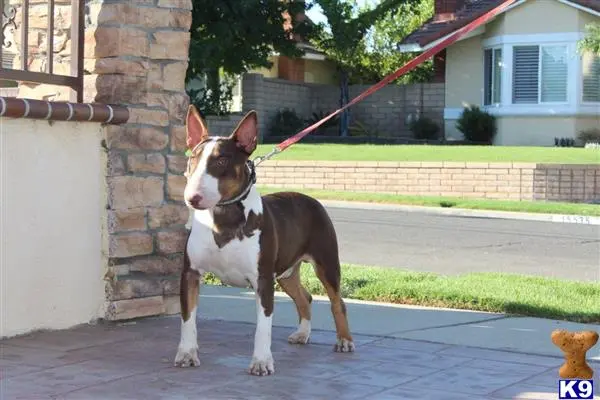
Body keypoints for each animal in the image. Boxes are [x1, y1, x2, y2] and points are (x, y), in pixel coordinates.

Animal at [172, 105, 352, 376]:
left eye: (222, 160)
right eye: (193, 158)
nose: (192, 198)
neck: (224, 218)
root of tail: (310, 199)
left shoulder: (263, 280)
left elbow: (263, 327)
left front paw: (261, 362)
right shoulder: (190, 274)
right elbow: (187, 318)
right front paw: (187, 353)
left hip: (326, 263)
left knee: (337, 301)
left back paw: (344, 340)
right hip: (286, 271)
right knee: (305, 297)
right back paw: (302, 334)